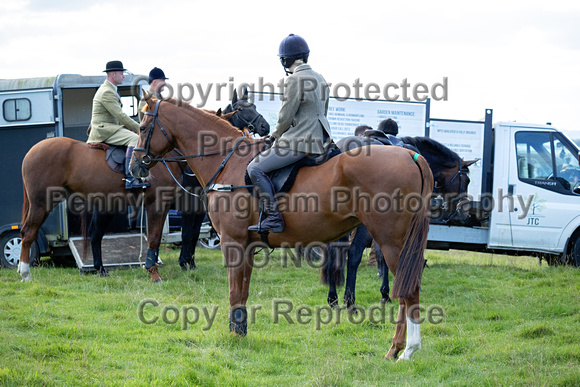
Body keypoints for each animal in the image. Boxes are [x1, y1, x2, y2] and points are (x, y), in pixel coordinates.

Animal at [17, 94, 268, 282]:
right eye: (243, 109)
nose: (264, 127)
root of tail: (32, 151)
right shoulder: (166, 205)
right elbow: (165, 237)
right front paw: (158, 270)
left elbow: (188, 235)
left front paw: (184, 264)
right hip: (42, 202)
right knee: (28, 232)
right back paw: (25, 272)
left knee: (95, 235)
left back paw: (100, 270)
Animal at [131, 97, 436, 360]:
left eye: (143, 127)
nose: (135, 167)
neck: (229, 161)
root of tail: (411, 156)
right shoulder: (246, 246)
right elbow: (242, 291)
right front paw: (240, 330)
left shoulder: (232, 241)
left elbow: (233, 291)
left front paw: (234, 335)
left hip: (391, 242)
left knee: (408, 291)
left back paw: (403, 350)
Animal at [326, 135, 476, 310]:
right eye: (466, 180)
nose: (465, 212)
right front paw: (389, 292)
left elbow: (382, 255)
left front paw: (385, 292)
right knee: (354, 253)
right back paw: (349, 300)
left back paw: (333, 298)